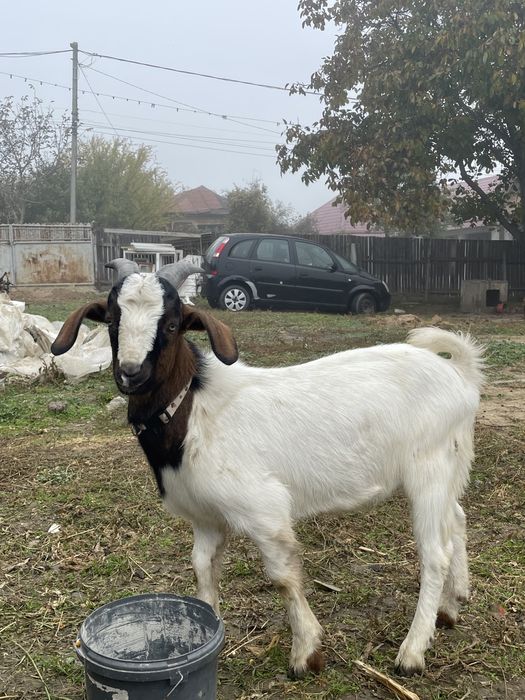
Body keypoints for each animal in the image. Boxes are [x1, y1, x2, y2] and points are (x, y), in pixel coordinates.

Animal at [51, 259, 484, 678]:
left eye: (172, 324)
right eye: (112, 319)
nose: (131, 372)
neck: (194, 413)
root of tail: (460, 377)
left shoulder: (264, 509)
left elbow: (282, 576)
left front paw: (306, 653)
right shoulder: (206, 517)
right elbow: (202, 568)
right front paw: (208, 633)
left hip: (429, 467)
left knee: (435, 553)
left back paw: (412, 651)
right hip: (450, 468)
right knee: (458, 518)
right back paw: (452, 605)